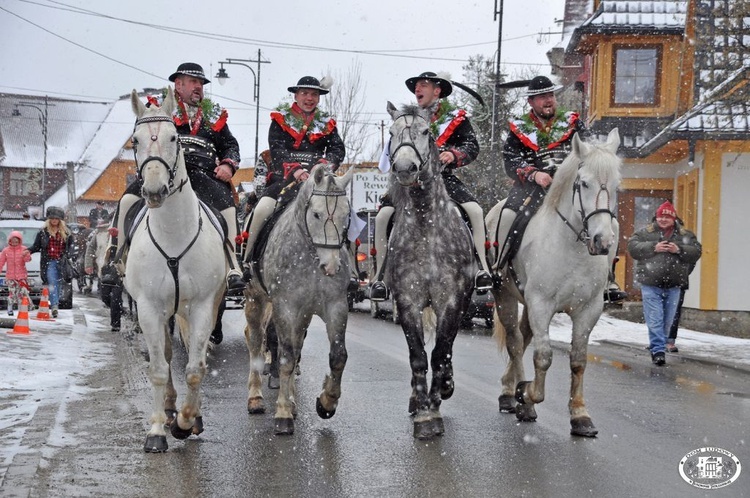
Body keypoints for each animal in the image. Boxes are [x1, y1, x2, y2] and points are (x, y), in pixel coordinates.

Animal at [126, 87, 228, 454]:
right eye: (136, 140)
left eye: (174, 138)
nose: (155, 191)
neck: (174, 234)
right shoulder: (149, 308)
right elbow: (159, 368)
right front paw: (157, 430)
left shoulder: (202, 307)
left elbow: (196, 368)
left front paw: (186, 422)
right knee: (168, 357)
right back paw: (169, 407)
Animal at [244, 164, 356, 436]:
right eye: (316, 214)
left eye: (346, 215)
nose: (331, 267)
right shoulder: (285, 308)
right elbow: (285, 358)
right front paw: (283, 414)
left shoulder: (335, 306)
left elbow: (338, 356)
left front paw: (326, 402)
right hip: (255, 299)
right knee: (256, 341)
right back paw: (256, 399)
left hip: (303, 314)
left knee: (296, 348)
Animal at [388, 102, 476, 440]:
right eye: (391, 132)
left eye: (426, 131)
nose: (404, 168)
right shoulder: (407, 301)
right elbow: (418, 356)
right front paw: (423, 411)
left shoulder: (451, 300)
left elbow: (440, 353)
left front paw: (435, 407)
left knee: (446, 348)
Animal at [488, 127, 624, 436]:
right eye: (583, 183)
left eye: (616, 186)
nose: (602, 241)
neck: (573, 248)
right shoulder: (541, 304)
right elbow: (543, 356)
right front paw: (526, 394)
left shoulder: (589, 309)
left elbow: (578, 360)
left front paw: (580, 415)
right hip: (505, 296)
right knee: (516, 342)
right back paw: (512, 395)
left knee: (523, 338)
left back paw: (511, 389)